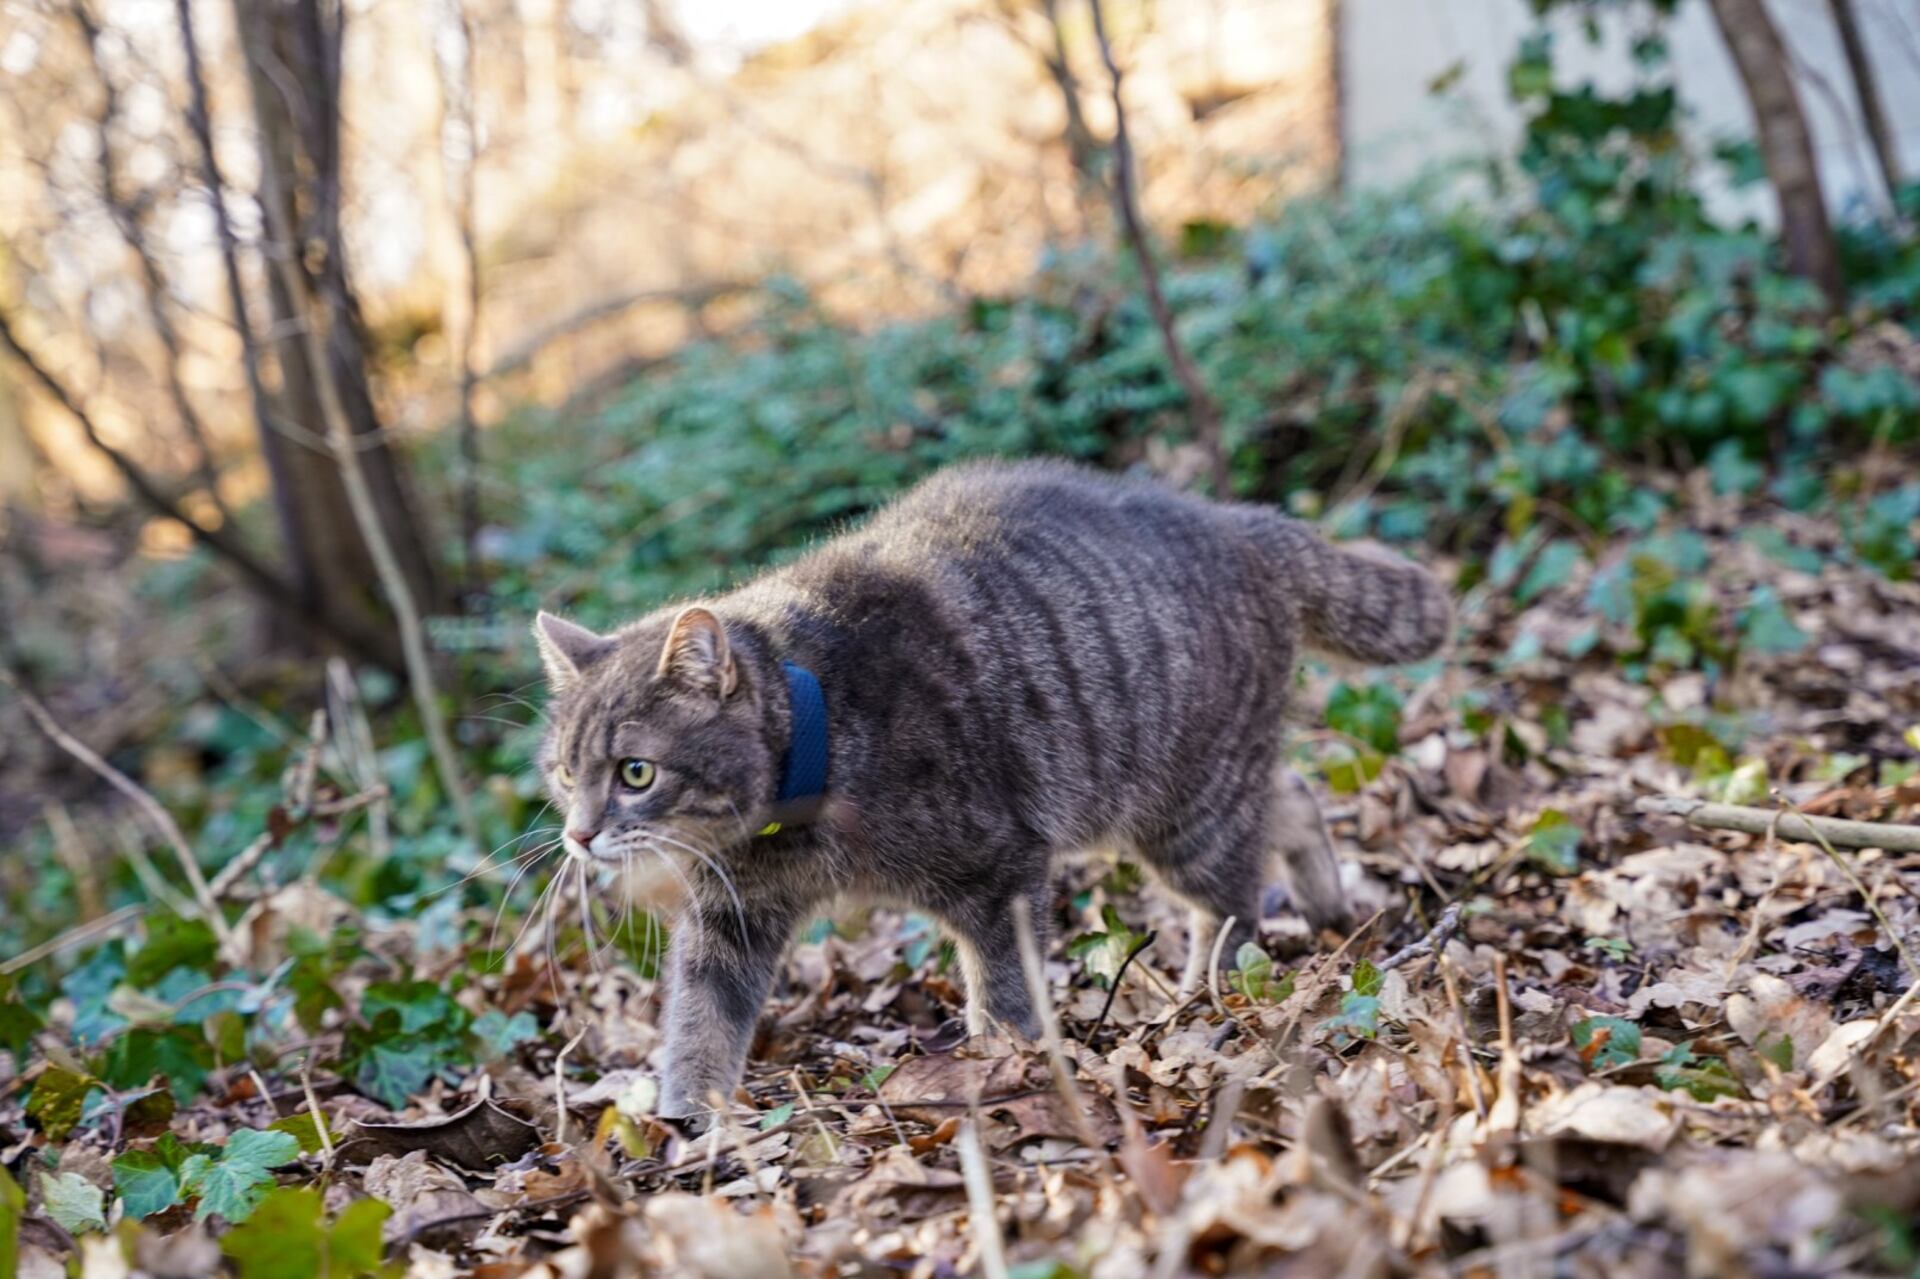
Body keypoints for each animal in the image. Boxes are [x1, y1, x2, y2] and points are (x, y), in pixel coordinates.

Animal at [533, 458, 1443, 1113]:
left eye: (636, 772)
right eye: (564, 772)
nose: (579, 833)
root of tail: (1238, 519)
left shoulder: (999, 870)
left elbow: (1004, 990)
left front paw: (1006, 1063)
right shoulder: (733, 915)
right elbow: (701, 1018)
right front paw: (687, 1120)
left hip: (1187, 815)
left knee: (1232, 902)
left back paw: (1205, 994)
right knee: (1290, 795)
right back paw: (1325, 901)